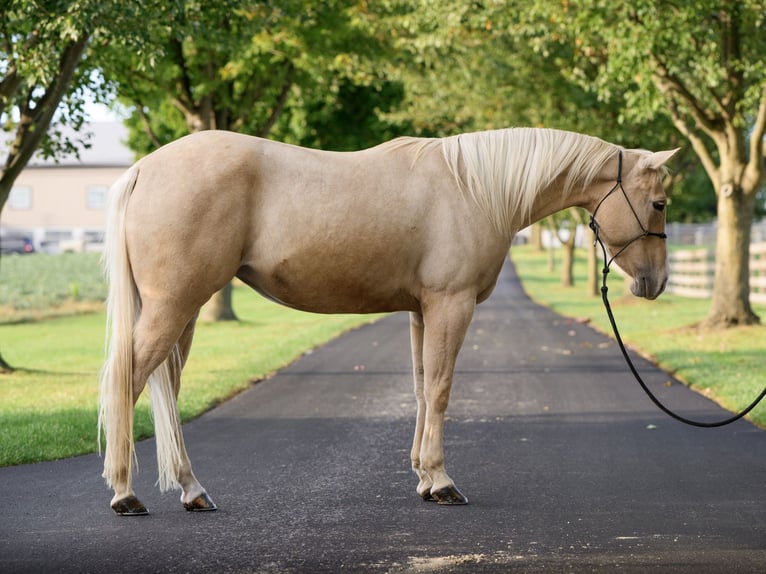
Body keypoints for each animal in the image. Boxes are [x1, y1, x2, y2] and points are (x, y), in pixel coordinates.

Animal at [98, 127, 678, 515]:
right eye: (658, 203)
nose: (655, 282)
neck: (474, 188)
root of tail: (145, 169)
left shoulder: (422, 310)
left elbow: (422, 389)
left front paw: (423, 477)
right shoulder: (451, 304)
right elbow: (441, 389)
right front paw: (442, 483)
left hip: (185, 311)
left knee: (167, 392)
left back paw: (192, 490)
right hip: (174, 306)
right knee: (126, 381)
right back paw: (125, 494)